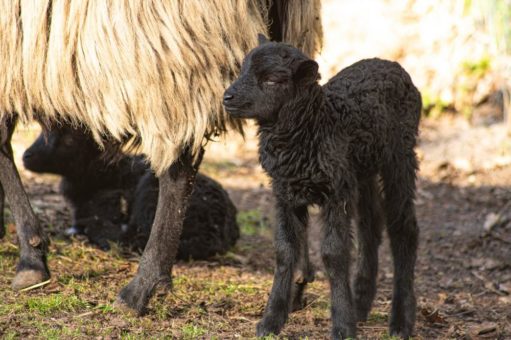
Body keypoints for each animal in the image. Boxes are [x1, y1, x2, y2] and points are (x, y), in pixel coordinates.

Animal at [223, 35, 420, 340]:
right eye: (242, 69)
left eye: (273, 80)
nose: (227, 97)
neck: (315, 127)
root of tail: (391, 64)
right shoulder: (284, 192)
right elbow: (284, 250)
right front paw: (270, 321)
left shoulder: (335, 193)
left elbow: (333, 253)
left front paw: (342, 327)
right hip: (360, 170)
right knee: (370, 227)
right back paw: (360, 305)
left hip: (400, 156)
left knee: (404, 228)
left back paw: (400, 323)